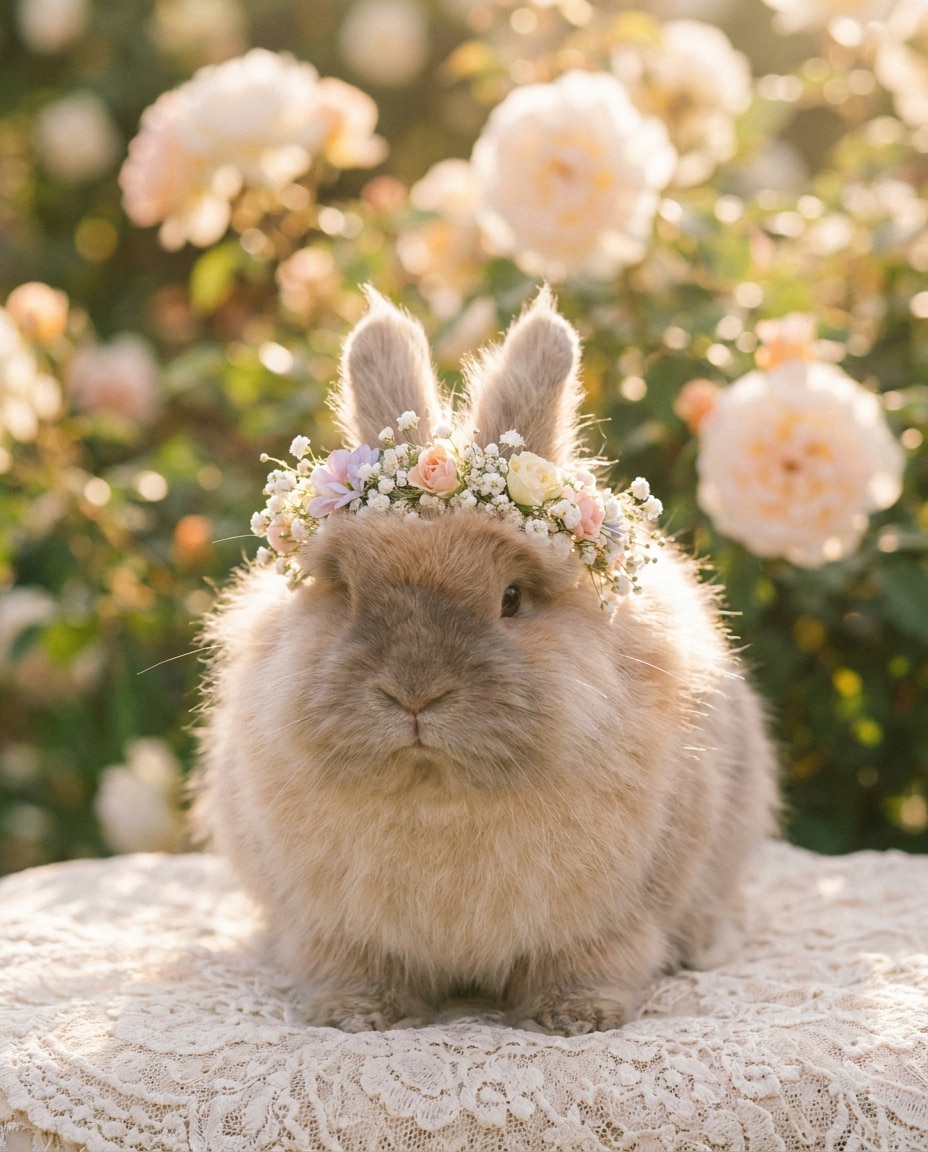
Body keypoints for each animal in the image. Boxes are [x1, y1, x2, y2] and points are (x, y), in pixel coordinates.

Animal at [192, 287, 779, 1035]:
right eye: (346, 593)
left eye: (512, 598)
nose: (415, 694)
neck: (437, 788)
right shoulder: (336, 930)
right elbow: (354, 967)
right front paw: (360, 1017)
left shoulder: (611, 923)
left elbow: (592, 964)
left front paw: (574, 1019)